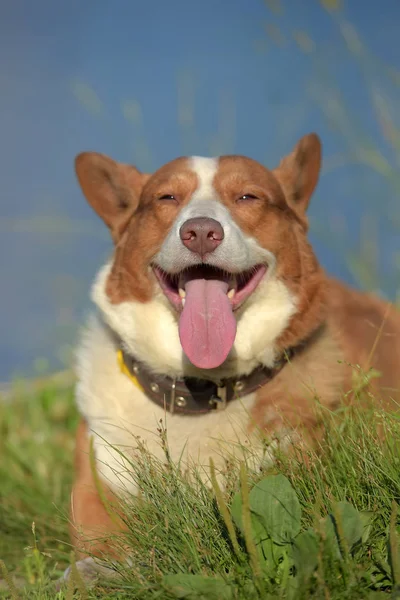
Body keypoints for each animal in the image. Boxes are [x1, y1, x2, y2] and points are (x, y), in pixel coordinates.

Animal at [69, 134, 400, 576]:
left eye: (248, 196)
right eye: (167, 197)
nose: (200, 232)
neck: (201, 389)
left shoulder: (295, 462)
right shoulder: (99, 480)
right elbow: (101, 542)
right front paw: (92, 571)